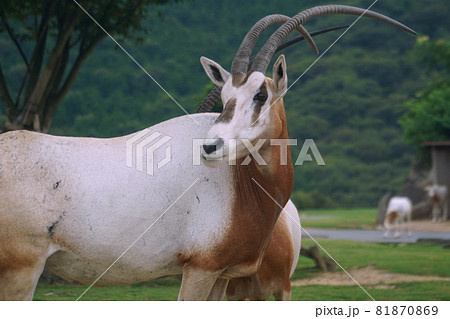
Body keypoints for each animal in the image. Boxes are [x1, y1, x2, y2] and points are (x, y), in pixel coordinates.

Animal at [0, 5, 414, 302]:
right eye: (227, 96)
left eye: (260, 94)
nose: (210, 147)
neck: (240, 183)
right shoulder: (200, 269)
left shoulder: (222, 275)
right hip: (22, 268)